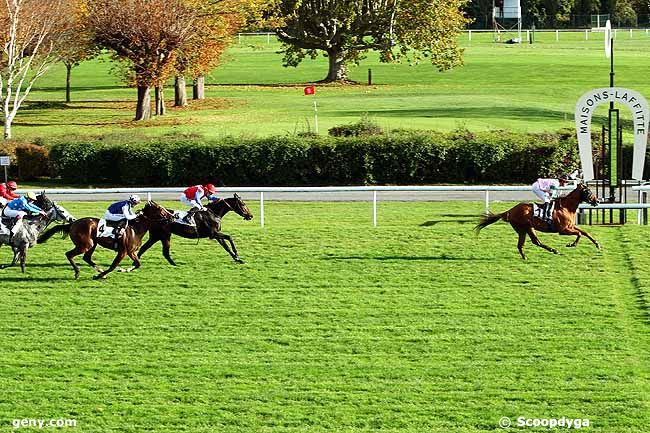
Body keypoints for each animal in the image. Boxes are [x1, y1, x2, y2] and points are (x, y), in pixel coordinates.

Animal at [39, 200, 172, 278]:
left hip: (93, 244)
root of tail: (73, 223)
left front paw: (124, 270)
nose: (171, 216)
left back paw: (99, 271)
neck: (136, 229)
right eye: (160, 209)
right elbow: (113, 266)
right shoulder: (123, 251)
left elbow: (138, 263)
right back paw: (78, 272)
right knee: (69, 254)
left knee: (86, 258)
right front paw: (100, 276)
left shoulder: (131, 251)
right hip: (85, 244)